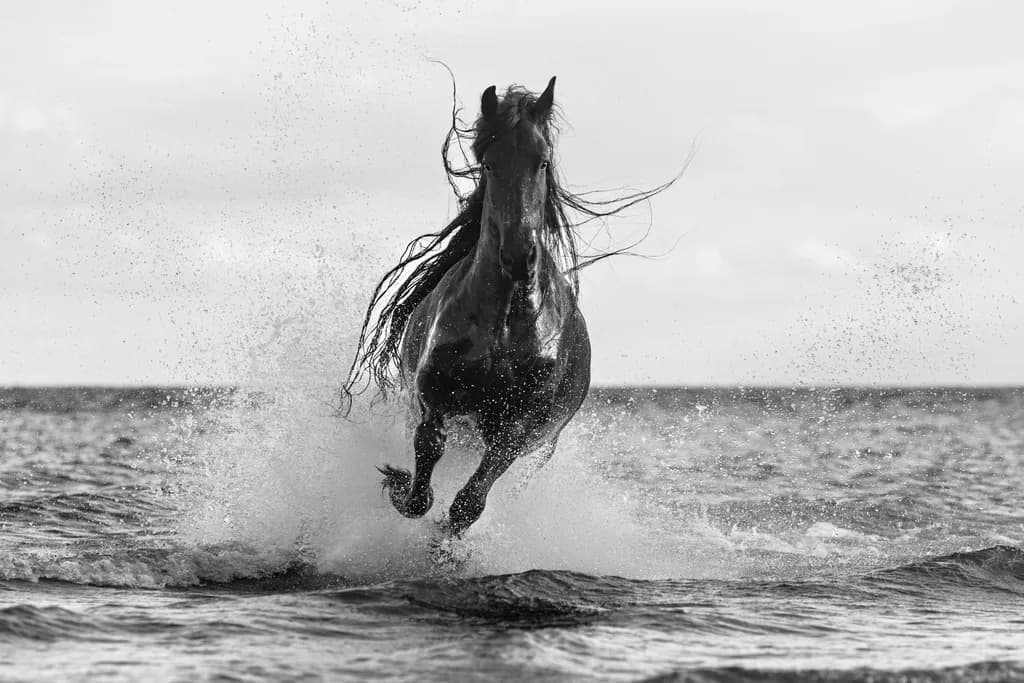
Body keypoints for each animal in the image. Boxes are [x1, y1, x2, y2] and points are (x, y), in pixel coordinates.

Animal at [342, 76, 679, 536]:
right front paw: (398, 484)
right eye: (488, 163)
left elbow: (470, 501)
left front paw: (445, 539)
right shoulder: (432, 392)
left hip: (541, 449)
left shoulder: (521, 424)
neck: (503, 324)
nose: (519, 255)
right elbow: (427, 453)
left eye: (542, 162)